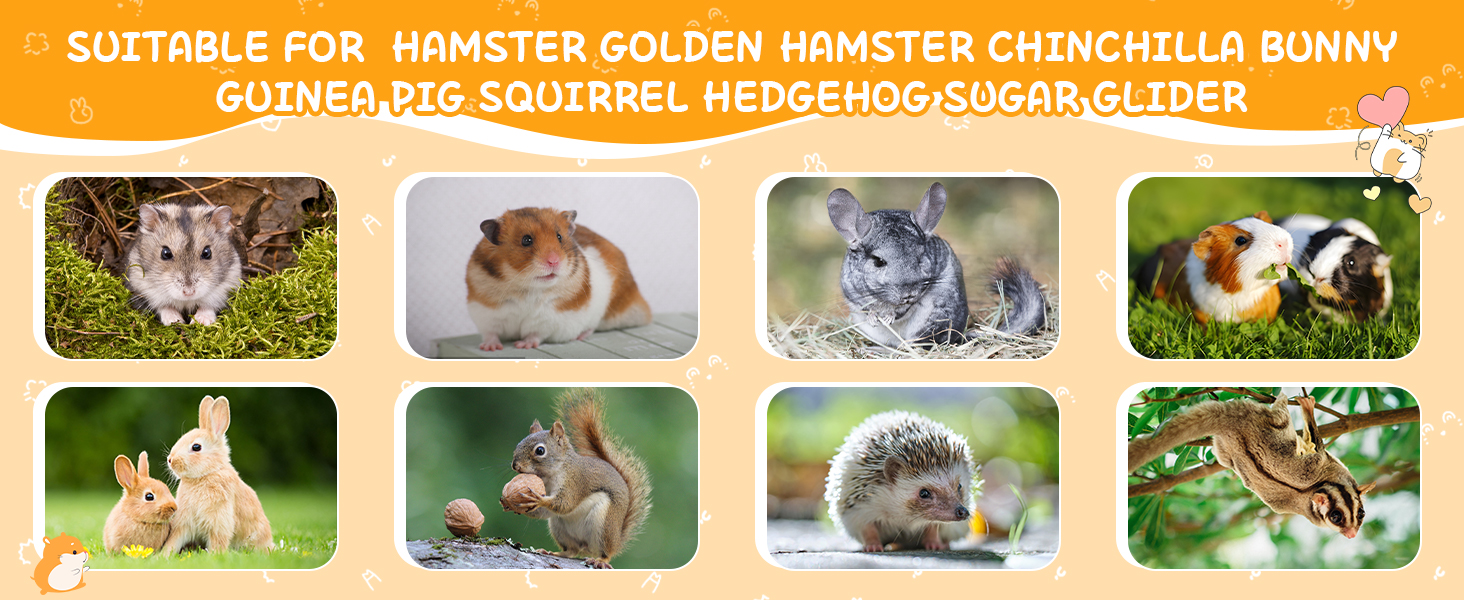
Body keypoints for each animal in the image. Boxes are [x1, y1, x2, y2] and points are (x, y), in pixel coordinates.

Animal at [162, 396, 272, 555]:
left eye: (196, 447)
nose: (170, 460)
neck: (207, 473)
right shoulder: (184, 523)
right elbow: (173, 541)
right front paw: (162, 555)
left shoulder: (219, 522)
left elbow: (218, 542)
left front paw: (214, 555)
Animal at [510, 388, 653, 569]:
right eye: (517, 445)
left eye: (540, 451)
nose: (515, 466)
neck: (551, 474)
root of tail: (617, 539)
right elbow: (544, 512)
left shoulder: (575, 482)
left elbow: (565, 503)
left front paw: (538, 499)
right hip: (559, 527)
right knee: (571, 550)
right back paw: (552, 552)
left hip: (604, 525)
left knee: (606, 553)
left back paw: (599, 560)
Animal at [827, 182, 1046, 349]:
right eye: (878, 261)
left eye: (920, 257)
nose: (909, 294)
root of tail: (960, 335)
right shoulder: (852, 293)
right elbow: (867, 307)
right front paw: (875, 317)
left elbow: (900, 311)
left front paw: (888, 316)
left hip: (932, 322)